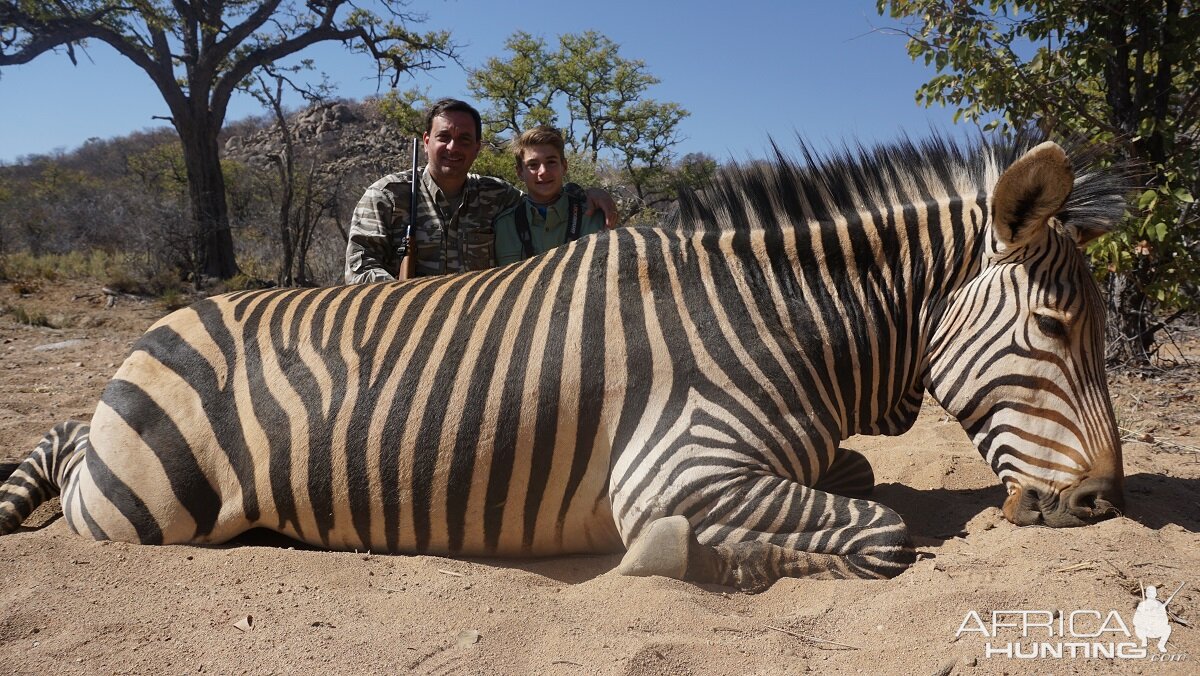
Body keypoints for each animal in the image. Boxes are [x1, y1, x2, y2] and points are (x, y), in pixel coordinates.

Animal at [0, 132, 1123, 593]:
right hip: (143, 505)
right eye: (1056, 326)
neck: (772, 320)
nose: (1106, 503)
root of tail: (163, 326)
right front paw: (685, 557)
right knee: (67, 452)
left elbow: (856, 482)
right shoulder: (677, 468)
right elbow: (882, 532)